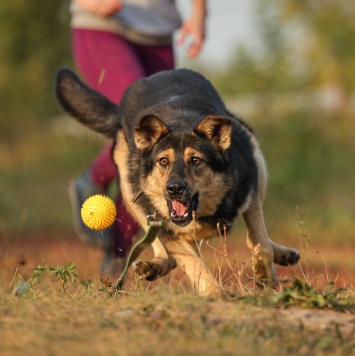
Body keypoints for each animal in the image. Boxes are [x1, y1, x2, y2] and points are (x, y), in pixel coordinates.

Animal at [55, 68, 300, 296]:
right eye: (163, 161)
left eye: (196, 161)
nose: (174, 189)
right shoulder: (168, 226)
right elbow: (194, 264)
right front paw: (217, 295)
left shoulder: (250, 187)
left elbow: (261, 243)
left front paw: (266, 279)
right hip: (128, 183)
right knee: (166, 250)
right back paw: (156, 264)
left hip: (253, 149)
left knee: (255, 238)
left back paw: (283, 254)